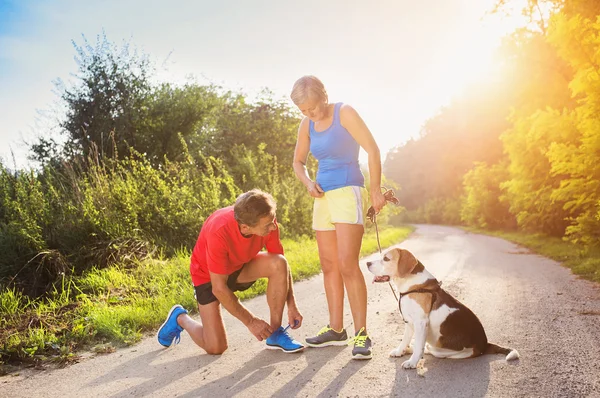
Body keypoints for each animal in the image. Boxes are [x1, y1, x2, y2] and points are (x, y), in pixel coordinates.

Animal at [368, 247, 516, 368]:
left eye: (386, 259)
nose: (367, 263)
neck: (413, 286)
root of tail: (485, 344)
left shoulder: (420, 322)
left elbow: (418, 346)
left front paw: (412, 362)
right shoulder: (409, 322)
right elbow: (405, 340)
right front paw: (400, 351)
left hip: (446, 351)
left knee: (427, 348)